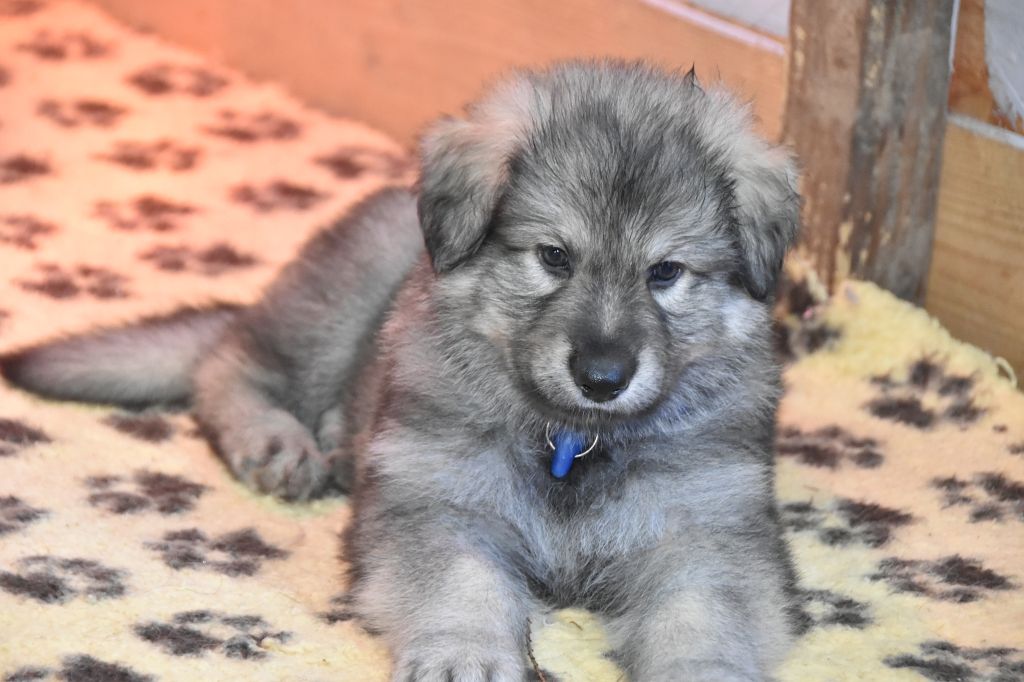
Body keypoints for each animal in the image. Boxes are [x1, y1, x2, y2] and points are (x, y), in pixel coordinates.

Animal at [1, 61, 803, 681]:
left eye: (666, 272)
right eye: (554, 257)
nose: (602, 377)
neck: (572, 440)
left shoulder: (707, 529)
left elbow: (700, 614)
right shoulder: (436, 504)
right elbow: (462, 584)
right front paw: (465, 655)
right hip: (344, 293)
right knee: (232, 359)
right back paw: (279, 444)